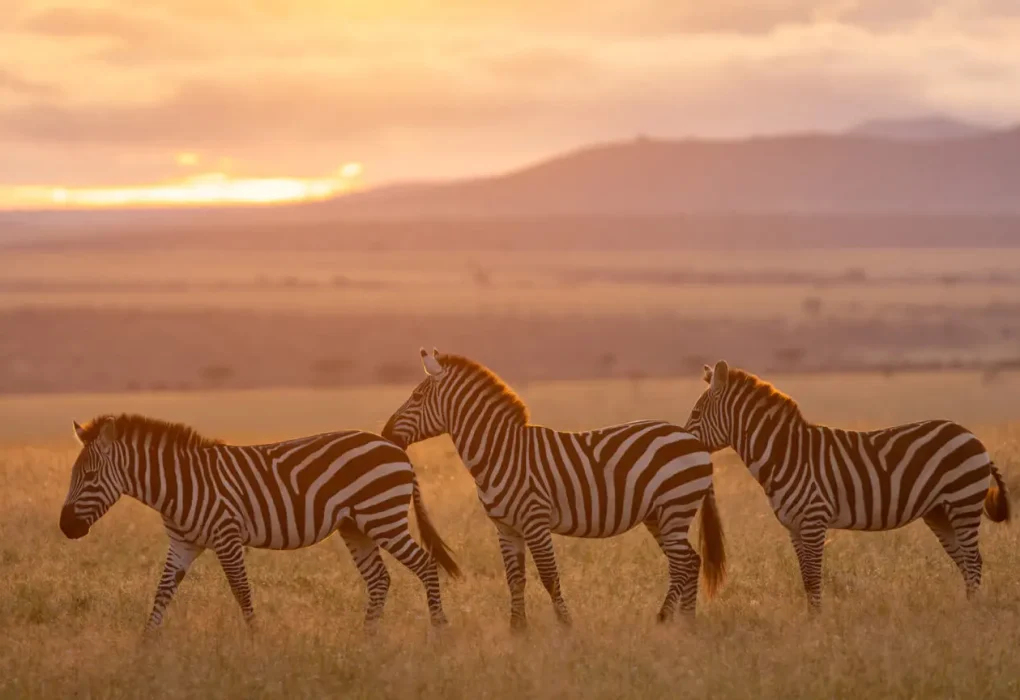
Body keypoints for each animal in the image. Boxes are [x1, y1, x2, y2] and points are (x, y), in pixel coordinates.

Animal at [60, 414, 461, 632]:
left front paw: (256, 641)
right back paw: (367, 641)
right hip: (356, 527)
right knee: (379, 580)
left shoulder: (226, 536)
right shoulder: (183, 544)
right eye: (73, 475)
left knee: (426, 565)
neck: (178, 485)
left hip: (384, 518)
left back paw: (439, 633)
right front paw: (145, 648)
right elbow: (162, 593)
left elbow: (241, 591)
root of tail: (397, 450)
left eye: (90, 476)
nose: (66, 528)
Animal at [381, 348, 725, 629]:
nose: (385, 433)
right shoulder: (506, 528)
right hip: (658, 515)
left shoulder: (535, 521)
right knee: (690, 562)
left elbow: (549, 577)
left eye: (416, 397)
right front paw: (518, 629)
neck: (501, 453)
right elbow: (515, 579)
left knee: (683, 564)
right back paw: (685, 622)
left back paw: (665, 619)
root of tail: (692, 440)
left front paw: (565, 626)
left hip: (674, 507)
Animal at [684, 360, 1011, 609]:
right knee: (965, 562)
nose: (683, 443)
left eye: (696, 414)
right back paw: (968, 609)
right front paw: (812, 622)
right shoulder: (794, 526)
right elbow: (806, 579)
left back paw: (973, 613)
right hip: (939, 512)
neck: (785, 454)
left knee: (973, 561)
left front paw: (817, 624)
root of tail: (972, 436)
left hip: (963, 502)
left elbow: (813, 578)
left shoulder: (814, 520)